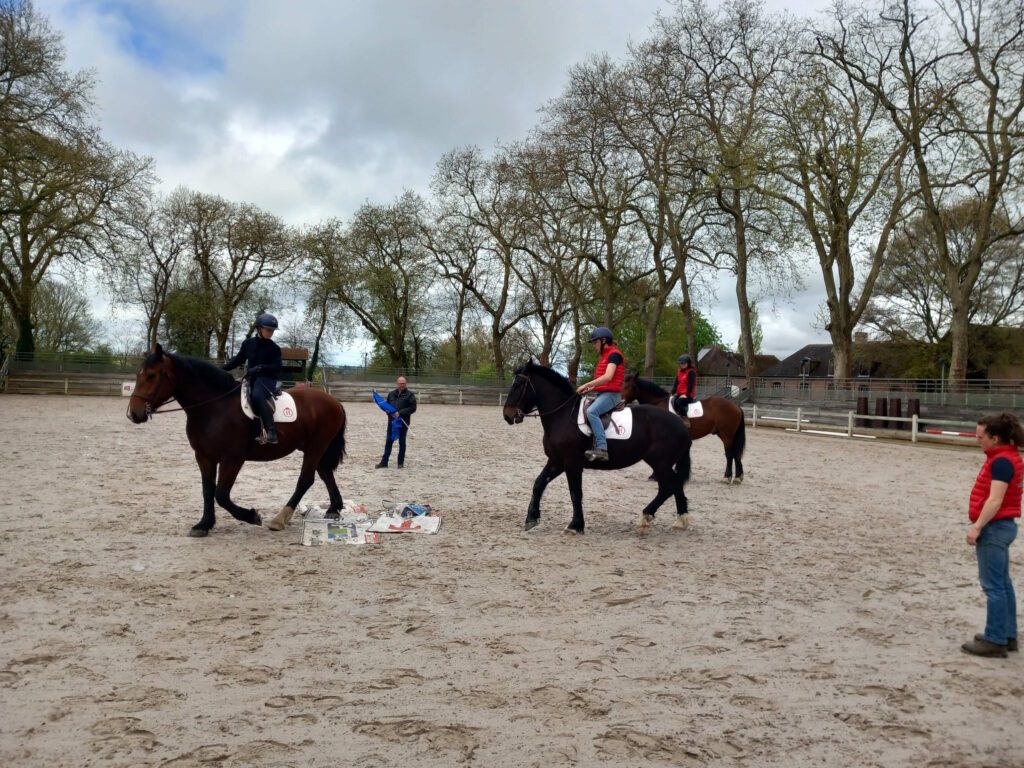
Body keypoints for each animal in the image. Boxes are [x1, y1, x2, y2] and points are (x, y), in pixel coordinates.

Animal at [122, 346, 348, 536]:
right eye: (138, 375)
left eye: (151, 376)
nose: (134, 413)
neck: (214, 407)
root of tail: (334, 401)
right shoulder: (204, 456)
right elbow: (207, 491)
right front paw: (204, 524)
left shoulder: (232, 459)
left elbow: (221, 495)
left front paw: (251, 516)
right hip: (313, 448)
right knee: (325, 473)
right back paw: (334, 508)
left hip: (316, 447)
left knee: (306, 480)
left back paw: (280, 518)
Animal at [501, 360, 692, 536]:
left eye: (517, 385)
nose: (507, 415)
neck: (563, 416)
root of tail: (681, 424)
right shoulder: (557, 461)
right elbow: (539, 484)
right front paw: (531, 518)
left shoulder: (572, 463)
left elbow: (575, 492)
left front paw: (575, 525)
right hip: (662, 464)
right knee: (674, 485)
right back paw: (679, 521)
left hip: (660, 463)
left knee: (669, 487)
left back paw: (647, 517)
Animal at [614, 376, 745, 483]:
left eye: (628, 387)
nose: (618, 404)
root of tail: (735, 406)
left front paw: (656, 475)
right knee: (736, 454)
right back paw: (738, 477)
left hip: (727, 435)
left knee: (730, 454)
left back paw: (727, 476)